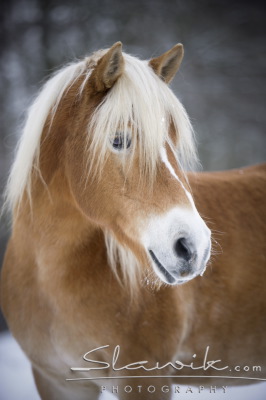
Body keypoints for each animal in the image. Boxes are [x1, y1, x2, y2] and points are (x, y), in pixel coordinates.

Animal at [0, 42, 266, 398]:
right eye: (119, 140)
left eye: (171, 142)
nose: (194, 248)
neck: (47, 276)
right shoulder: (56, 380)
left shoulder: (143, 379)